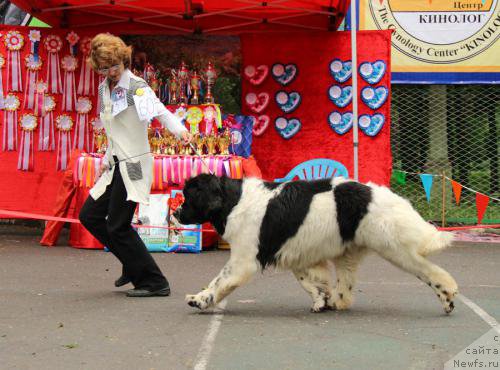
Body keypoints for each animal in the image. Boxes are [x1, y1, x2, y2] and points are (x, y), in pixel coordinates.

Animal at [174, 175, 458, 314]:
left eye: (189, 196)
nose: (175, 213)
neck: (234, 201)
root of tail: (382, 194)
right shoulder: (294, 252)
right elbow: (311, 281)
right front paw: (322, 301)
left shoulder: (243, 259)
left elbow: (218, 282)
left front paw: (199, 300)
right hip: (350, 252)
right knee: (345, 287)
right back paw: (339, 302)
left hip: (395, 247)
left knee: (430, 271)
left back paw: (447, 297)